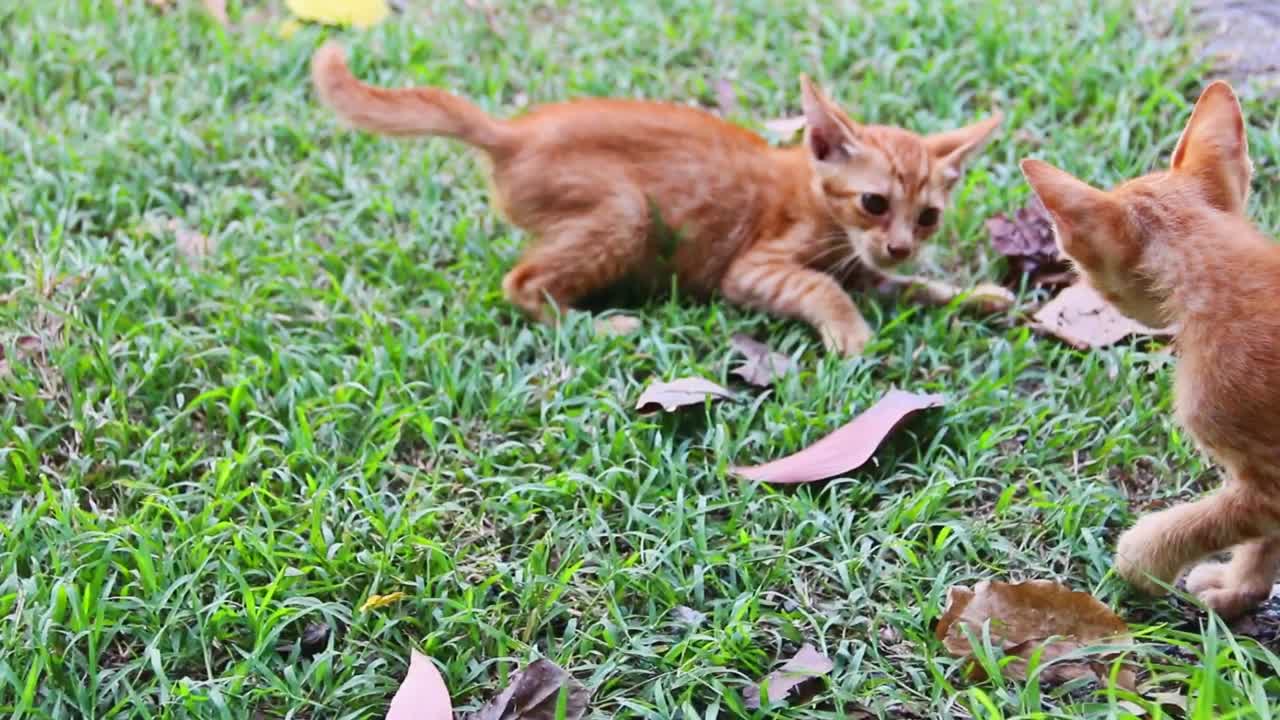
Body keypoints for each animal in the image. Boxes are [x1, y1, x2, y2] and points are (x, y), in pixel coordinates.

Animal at [309, 42, 1008, 356]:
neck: (818, 203)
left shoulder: (870, 270)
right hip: (628, 214)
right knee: (522, 282)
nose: (900, 244)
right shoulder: (752, 269)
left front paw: (977, 296)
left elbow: (910, 287)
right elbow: (821, 286)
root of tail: (512, 132)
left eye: (928, 217)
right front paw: (853, 334)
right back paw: (601, 325)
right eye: (873, 202)